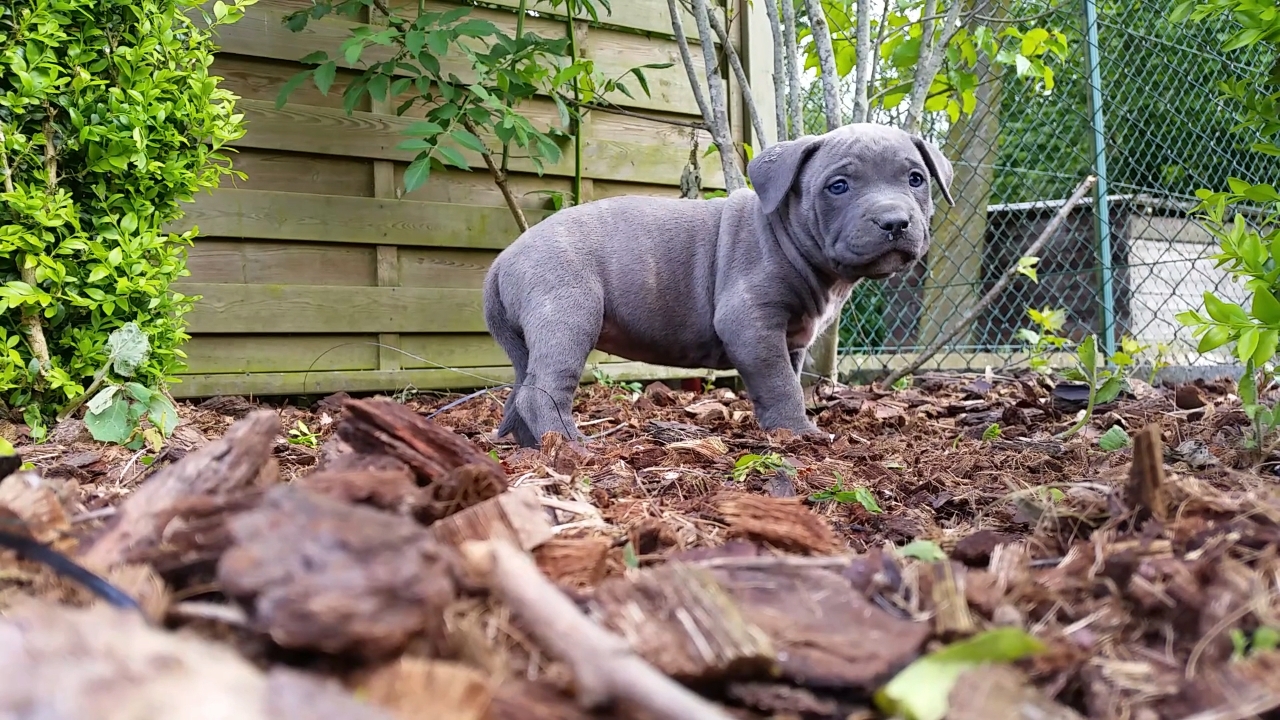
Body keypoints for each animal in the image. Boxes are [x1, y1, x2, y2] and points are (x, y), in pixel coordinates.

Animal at [481, 124, 952, 448]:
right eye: (838, 186)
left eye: (916, 179)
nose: (895, 222)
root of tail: (503, 259)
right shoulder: (751, 322)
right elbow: (781, 382)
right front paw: (800, 433)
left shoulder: (792, 337)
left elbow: (781, 380)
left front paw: (780, 430)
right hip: (567, 314)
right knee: (543, 391)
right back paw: (570, 445)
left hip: (529, 338)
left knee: (520, 388)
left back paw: (525, 445)